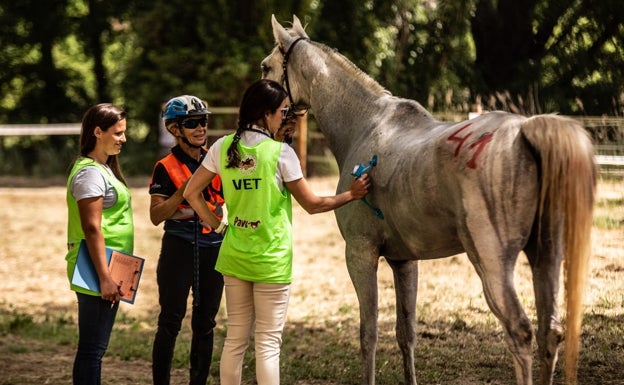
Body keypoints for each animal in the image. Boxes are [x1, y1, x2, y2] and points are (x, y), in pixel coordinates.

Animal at [260, 15, 596, 384]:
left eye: (265, 67)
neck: (365, 126)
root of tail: (525, 132)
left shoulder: (360, 254)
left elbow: (368, 335)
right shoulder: (405, 262)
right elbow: (405, 334)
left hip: (492, 263)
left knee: (520, 332)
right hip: (546, 256)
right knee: (551, 332)